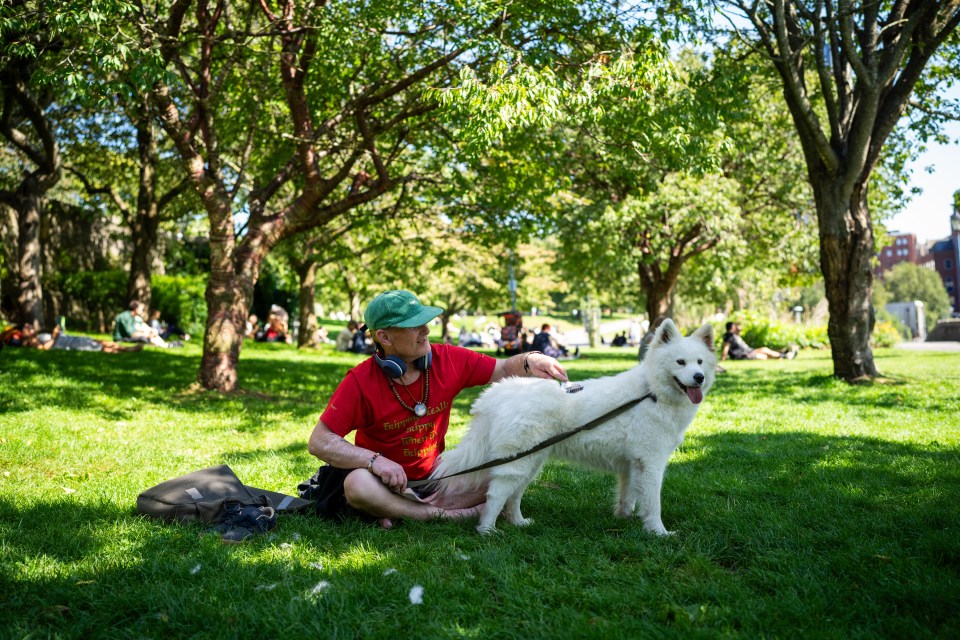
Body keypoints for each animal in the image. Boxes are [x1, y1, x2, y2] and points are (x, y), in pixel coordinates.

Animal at [432, 320, 716, 536]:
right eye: (680, 362)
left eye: (700, 362)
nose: (699, 378)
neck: (651, 392)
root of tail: (498, 393)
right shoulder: (651, 463)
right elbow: (653, 503)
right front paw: (659, 532)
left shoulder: (631, 466)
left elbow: (628, 497)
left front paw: (624, 519)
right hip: (518, 462)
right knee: (496, 496)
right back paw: (488, 530)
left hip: (531, 462)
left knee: (513, 497)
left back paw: (519, 523)